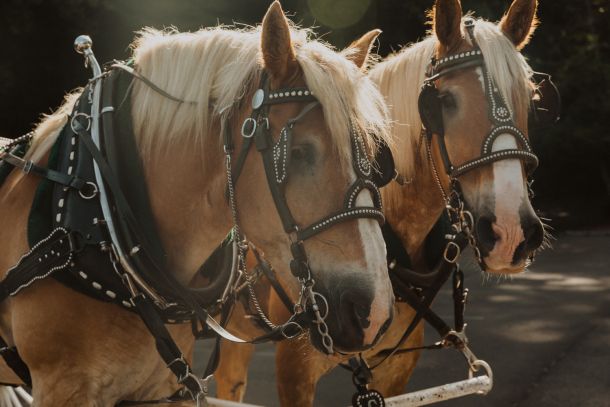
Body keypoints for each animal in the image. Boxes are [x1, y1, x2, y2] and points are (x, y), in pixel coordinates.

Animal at [0, 2, 394, 404]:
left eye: (376, 160)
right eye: (297, 152)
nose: (373, 312)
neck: (99, 225)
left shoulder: (157, 390)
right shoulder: (61, 386)